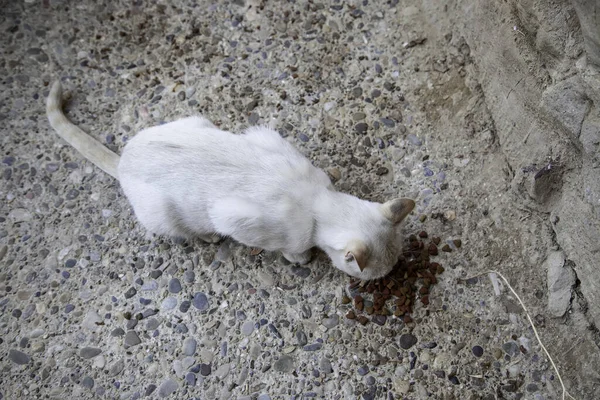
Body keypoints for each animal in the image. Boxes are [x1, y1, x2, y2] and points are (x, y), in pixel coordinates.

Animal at [47, 80, 414, 282]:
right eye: (379, 273)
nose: (391, 275)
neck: (318, 200)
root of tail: (124, 159)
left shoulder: (264, 135)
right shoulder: (237, 219)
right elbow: (289, 248)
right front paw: (300, 259)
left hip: (196, 121)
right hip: (162, 214)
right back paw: (206, 237)